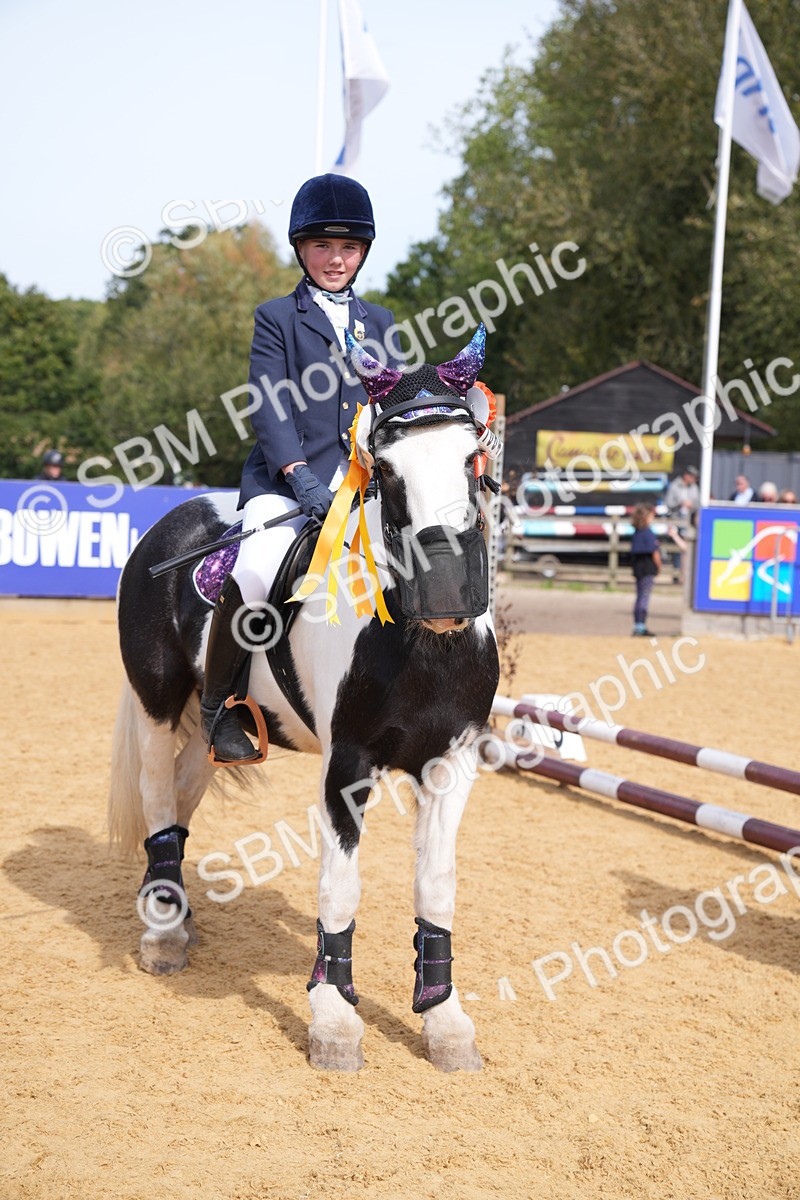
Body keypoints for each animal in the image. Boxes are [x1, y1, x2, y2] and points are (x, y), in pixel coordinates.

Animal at [108, 326, 500, 1072]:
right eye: (385, 470)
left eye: (473, 459)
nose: (445, 598)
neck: (418, 647)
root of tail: (178, 519)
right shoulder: (346, 766)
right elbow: (340, 888)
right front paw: (335, 1022)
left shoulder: (452, 763)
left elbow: (438, 884)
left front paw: (446, 1022)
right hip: (156, 704)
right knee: (157, 798)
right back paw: (164, 933)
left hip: (215, 727)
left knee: (182, 797)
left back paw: (175, 912)